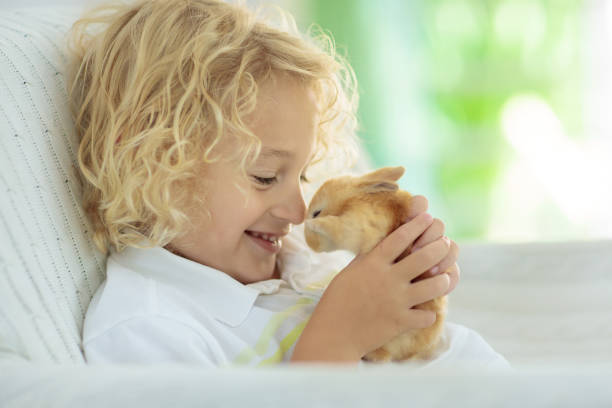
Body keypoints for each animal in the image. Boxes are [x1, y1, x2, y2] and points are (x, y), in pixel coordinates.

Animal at [304, 167, 448, 364]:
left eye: (317, 212)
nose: (310, 244)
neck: (355, 198)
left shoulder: (358, 222)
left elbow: (335, 225)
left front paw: (314, 223)